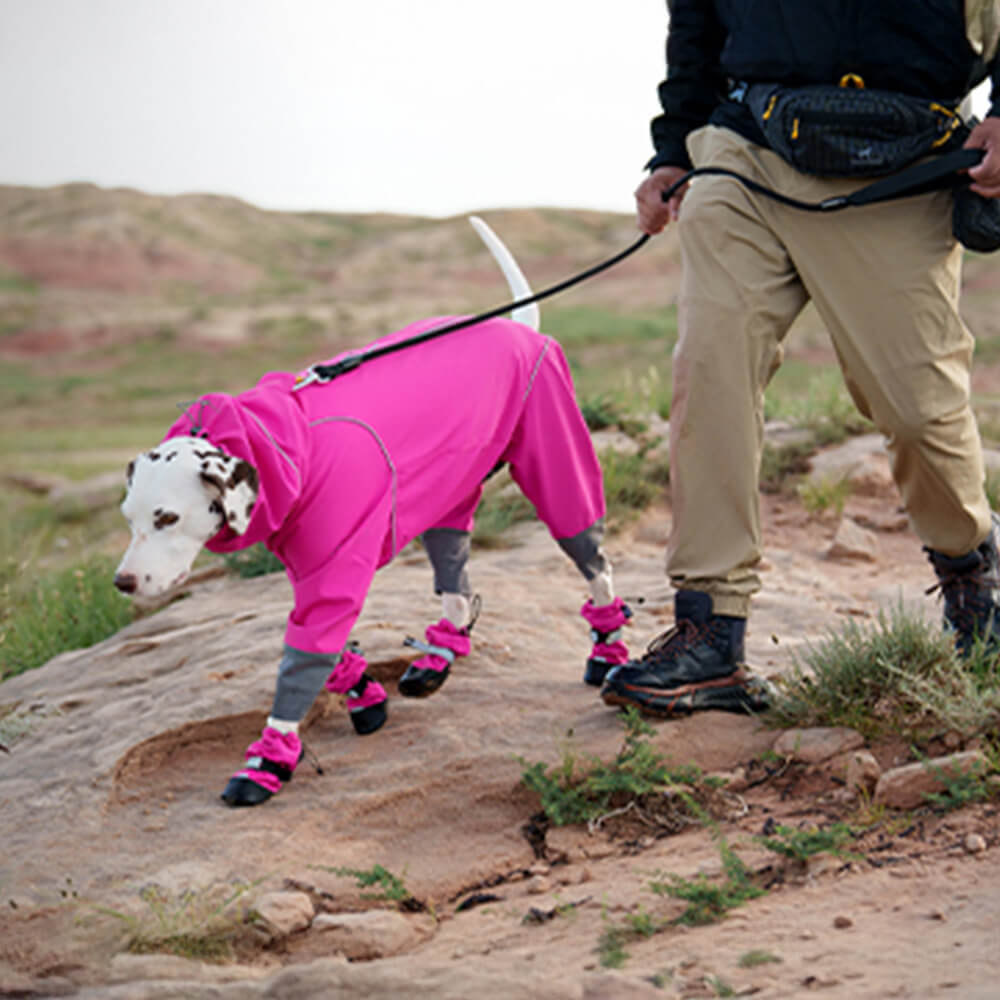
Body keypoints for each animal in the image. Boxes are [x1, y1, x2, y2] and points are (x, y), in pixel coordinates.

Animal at [115, 217, 632, 804]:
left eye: (167, 518)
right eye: (130, 519)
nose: (122, 583)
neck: (284, 447)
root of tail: (519, 327)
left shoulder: (332, 575)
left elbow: (302, 663)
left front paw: (267, 761)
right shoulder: (312, 575)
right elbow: (324, 650)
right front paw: (362, 693)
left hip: (559, 475)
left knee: (594, 563)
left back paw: (608, 653)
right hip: (448, 497)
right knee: (455, 578)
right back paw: (438, 654)